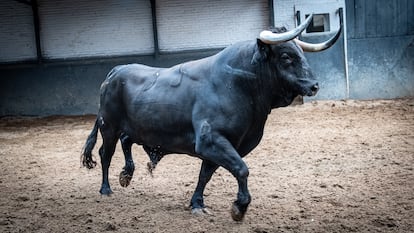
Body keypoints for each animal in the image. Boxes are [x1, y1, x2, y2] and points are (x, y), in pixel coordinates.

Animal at [81, 17, 342, 220]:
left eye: (301, 53)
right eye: (286, 56)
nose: (314, 85)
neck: (238, 84)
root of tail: (116, 70)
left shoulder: (226, 145)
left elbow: (205, 174)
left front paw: (197, 203)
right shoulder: (211, 140)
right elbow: (241, 169)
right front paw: (239, 207)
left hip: (134, 128)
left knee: (126, 142)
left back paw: (126, 175)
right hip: (109, 126)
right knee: (105, 154)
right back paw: (106, 189)